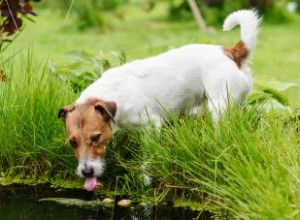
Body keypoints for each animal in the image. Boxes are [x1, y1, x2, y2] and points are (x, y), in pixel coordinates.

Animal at [58, 9, 260, 191]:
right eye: (72, 142)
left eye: (95, 137)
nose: (86, 172)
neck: (114, 94)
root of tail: (231, 51)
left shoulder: (152, 125)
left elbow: (148, 155)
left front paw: (146, 178)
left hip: (218, 107)